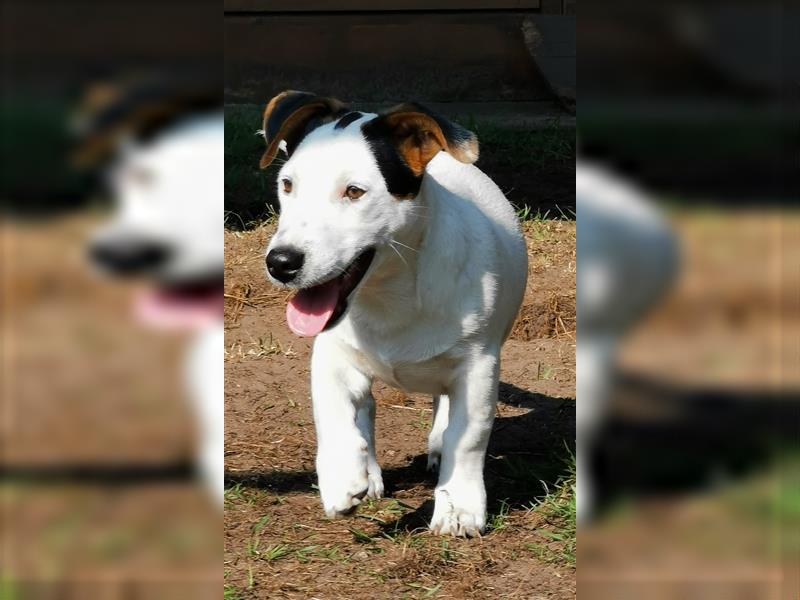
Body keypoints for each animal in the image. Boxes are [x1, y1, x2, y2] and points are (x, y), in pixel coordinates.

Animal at [260, 91, 528, 536]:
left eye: (354, 192)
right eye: (287, 185)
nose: (281, 262)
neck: (387, 295)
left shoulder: (478, 367)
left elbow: (467, 437)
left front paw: (458, 505)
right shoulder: (330, 354)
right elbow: (333, 413)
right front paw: (342, 475)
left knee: (443, 407)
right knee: (365, 408)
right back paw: (366, 470)